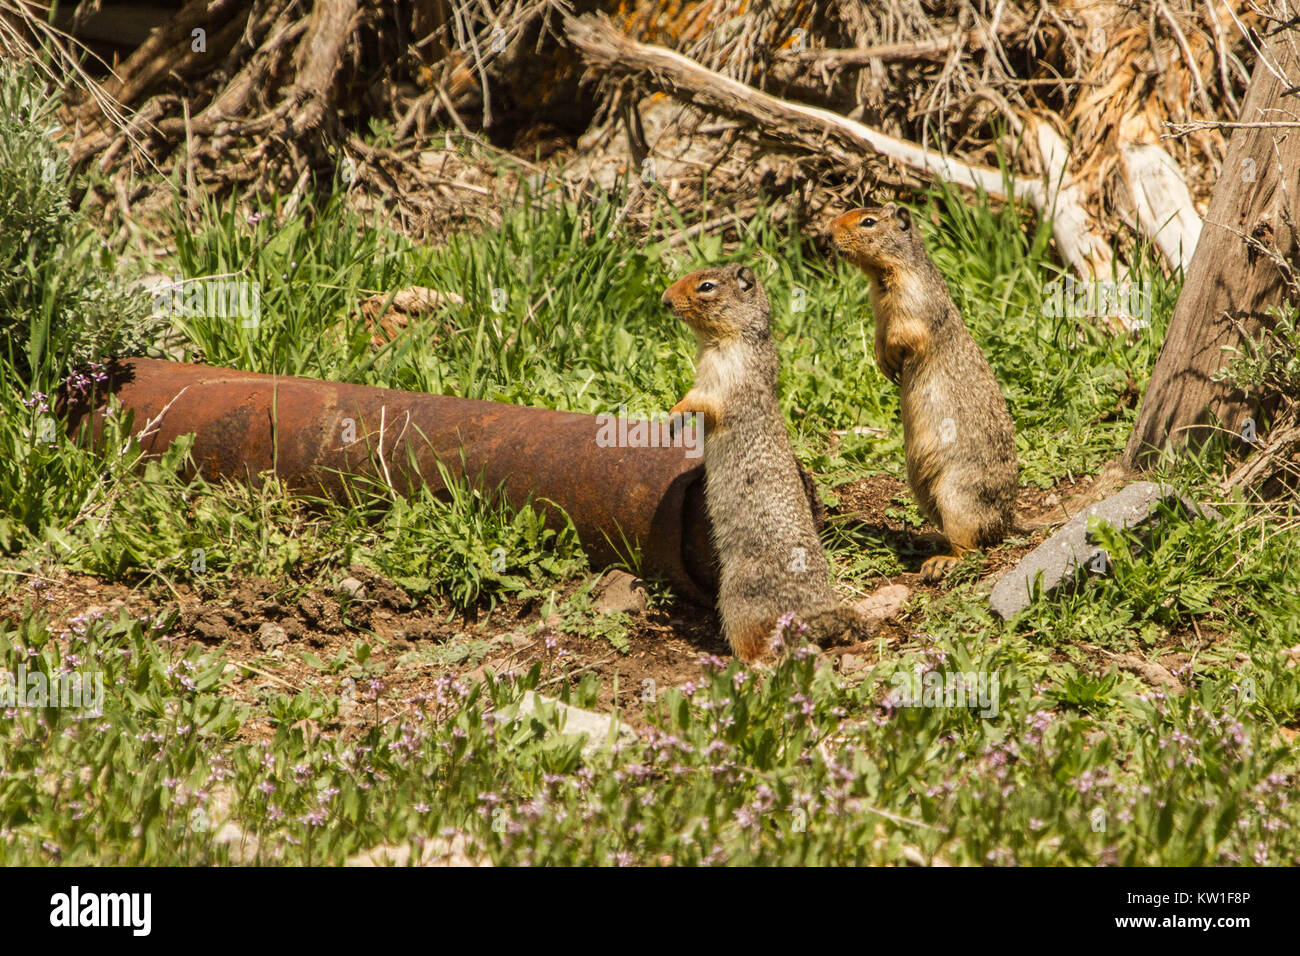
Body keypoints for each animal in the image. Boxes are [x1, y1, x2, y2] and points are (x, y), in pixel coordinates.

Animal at [662, 263, 868, 660]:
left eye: (706, 286)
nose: (664, 300)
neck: (724, 340)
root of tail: (810, 614)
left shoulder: (723, 380)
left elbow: (699, 401)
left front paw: (673, 414)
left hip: (737, 595)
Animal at [828, 203, 1019, 582]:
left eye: (868, 221)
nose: (828, 229)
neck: (882, 278)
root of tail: (1006, 524)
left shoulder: (912, 306)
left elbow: (904, 335)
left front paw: (891, 362)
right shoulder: (879, 315)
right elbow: (879, 339)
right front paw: (884, 366)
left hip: (956, 497)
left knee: (972, 547)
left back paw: (941, 562)